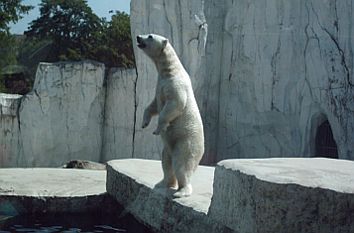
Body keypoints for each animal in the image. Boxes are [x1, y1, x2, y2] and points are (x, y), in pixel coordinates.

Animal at [138, 33, 205, 198]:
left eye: (150, 36)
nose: (138, 37)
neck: (170, 70)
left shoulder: (175, 83)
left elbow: (176, 103)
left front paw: (158, 128)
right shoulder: (160, 84)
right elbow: (154, 105)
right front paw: (144, 122)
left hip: (186, 142)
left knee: (181, 164)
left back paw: (181, 191)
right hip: (168, 147)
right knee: (166, 162)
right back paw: (162, 184)